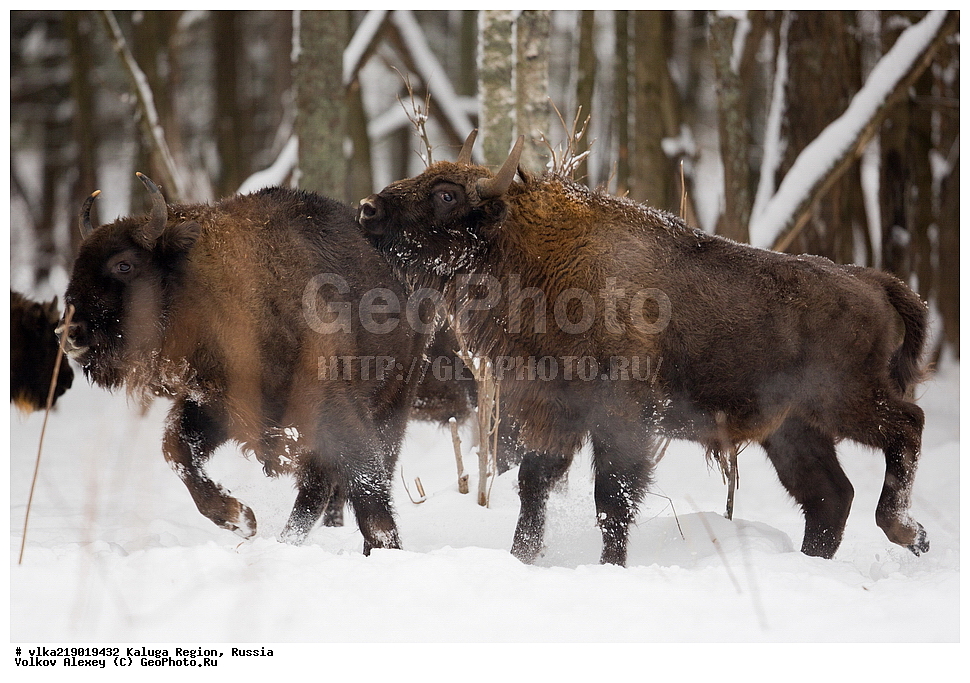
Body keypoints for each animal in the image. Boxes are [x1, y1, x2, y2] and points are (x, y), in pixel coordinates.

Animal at [358, 130, 929, 566]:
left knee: (907, 425)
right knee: (829, 497)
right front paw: (523, 558)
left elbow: (611, 499)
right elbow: (533, 486)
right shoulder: (555, 412)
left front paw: (611, 566)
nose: (368, 209)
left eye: (447, 194)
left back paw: (908, 532)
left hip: (844, 401)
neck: (538, 253)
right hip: (791, 430)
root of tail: (875, 282)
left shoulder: (620, 418)